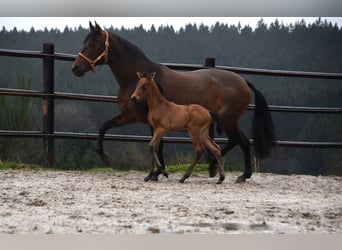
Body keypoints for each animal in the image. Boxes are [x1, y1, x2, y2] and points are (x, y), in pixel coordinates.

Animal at [71, 21, 276, 183]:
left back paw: (216, 168)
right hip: (231, 120)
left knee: (235, 140)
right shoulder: (129, 116)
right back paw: (241, 174)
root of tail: (243, 80)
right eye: (84, 42)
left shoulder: (150, 121)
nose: (76, 68)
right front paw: (105, 157)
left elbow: (158, 145)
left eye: (94, 43)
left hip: (228, 120)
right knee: (243, 141)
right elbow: (103, 127)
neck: (134, 79)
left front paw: (158, 172)